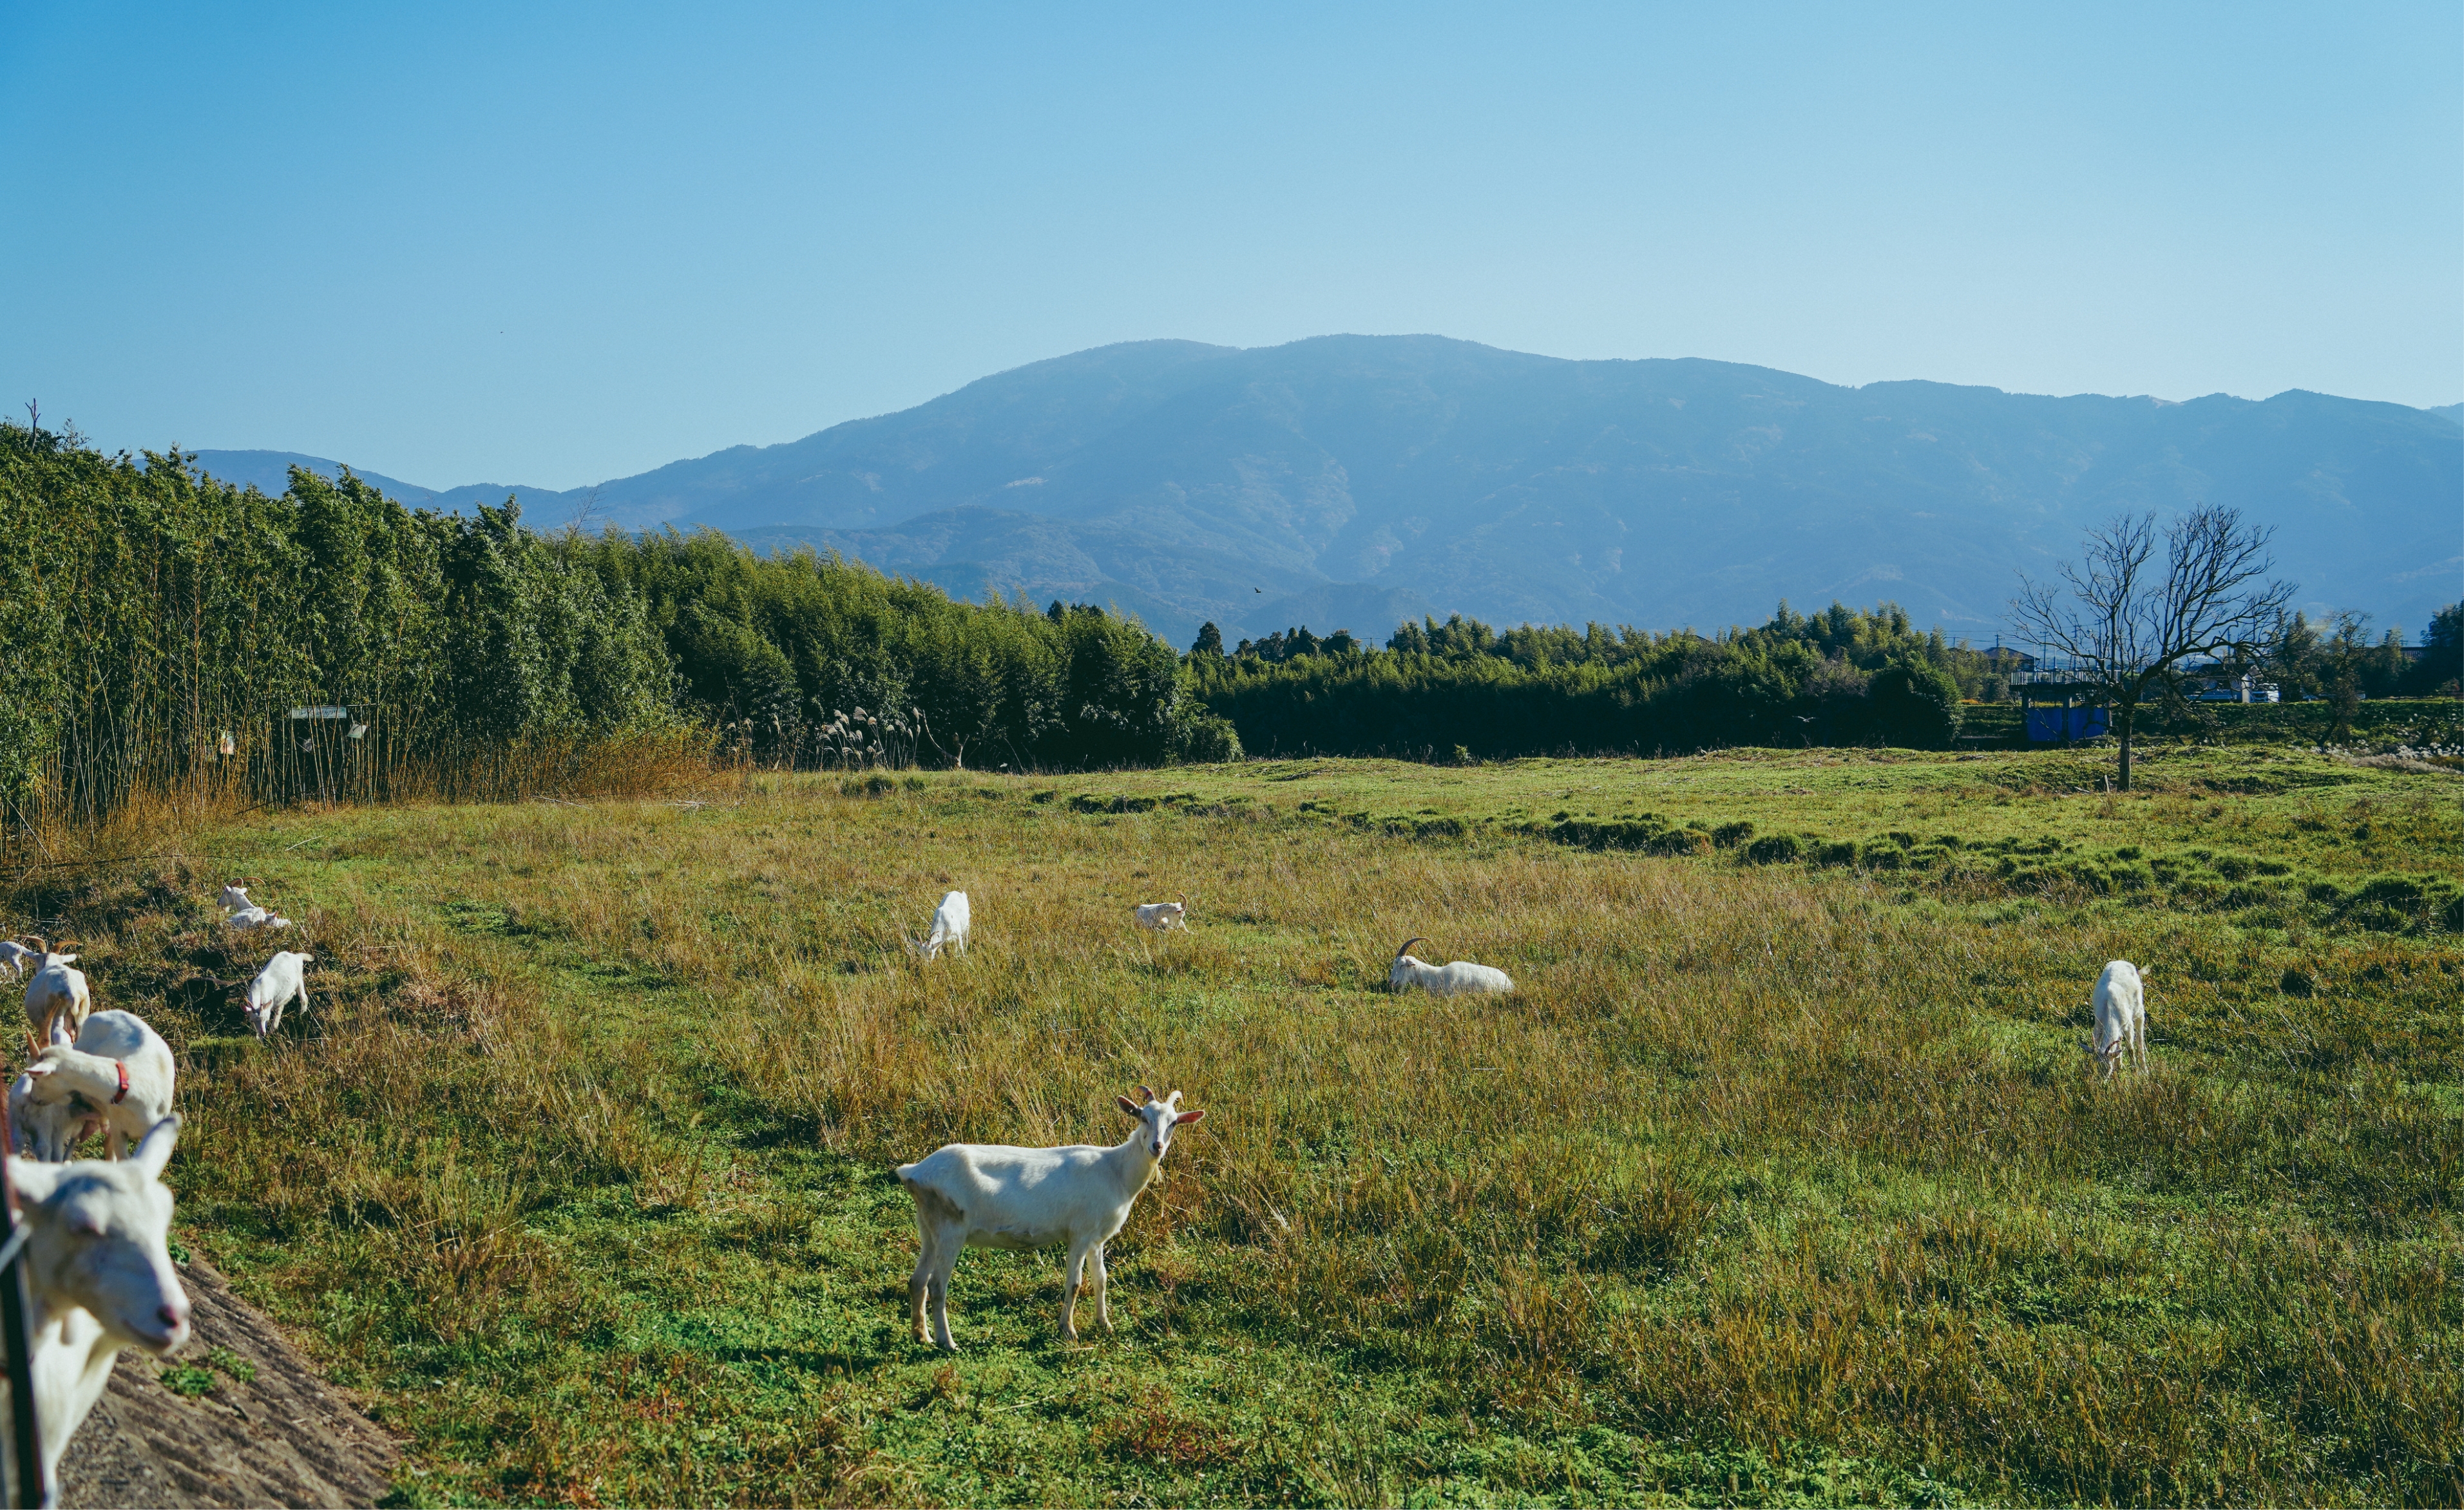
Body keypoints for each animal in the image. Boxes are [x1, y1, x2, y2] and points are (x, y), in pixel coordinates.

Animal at [906, 1078, 1212, 1350]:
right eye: (1143, 1117)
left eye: (1173, 1122)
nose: (1156, 1147)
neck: (1115, 1171)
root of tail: (914, 1172)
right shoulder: (1079, 1233)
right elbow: (1075, 1283)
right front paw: (1068, 1330)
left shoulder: (1097, 1239)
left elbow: (1101, 1279)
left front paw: (1104, 1324)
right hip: (951, 1229)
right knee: (937, 1285)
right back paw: (947, 1342)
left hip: (929, 1228)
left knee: (918, 1281)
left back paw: (922, 1336)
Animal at [2089, 960, 2148, 1078]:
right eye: (2097, 1065)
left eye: (2108, 1067)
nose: (2102, 1080)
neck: (2109, 1006)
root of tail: (2123, 962)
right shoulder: (2098, 1023)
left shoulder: (2128, 1025)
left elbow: (2131, 1049)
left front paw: (2135, 1072)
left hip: (2139, 1011)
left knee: (2140, 1039)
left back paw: (2145, 1069)